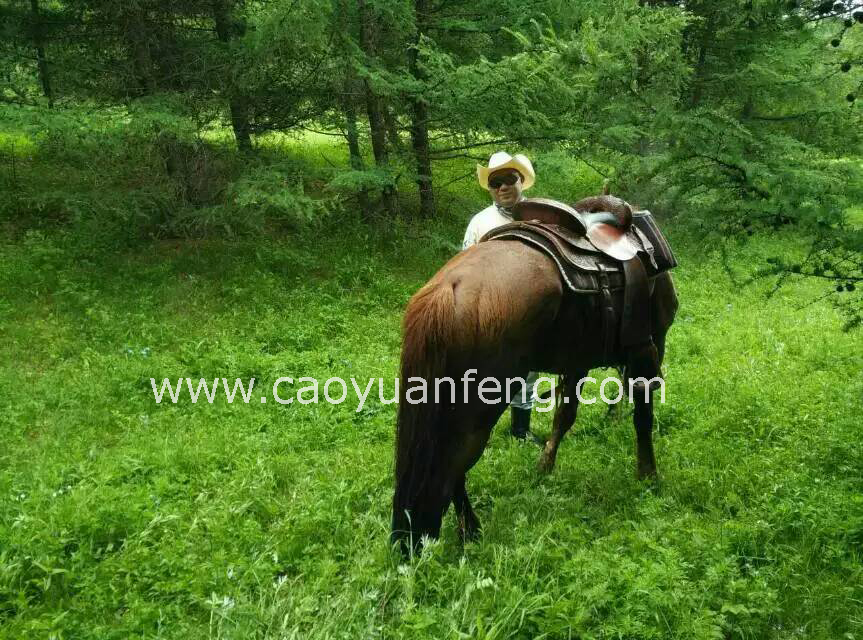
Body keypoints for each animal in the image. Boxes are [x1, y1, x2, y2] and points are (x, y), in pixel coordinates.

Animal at [391, 195, 679, 553]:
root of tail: (450, 286)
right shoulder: (649, 350)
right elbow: (643, 419)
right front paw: (648, 475)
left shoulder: (577, 363)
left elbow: (564, 416)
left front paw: (545, 467)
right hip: (480, 406)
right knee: (454, 461)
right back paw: (468, 530)